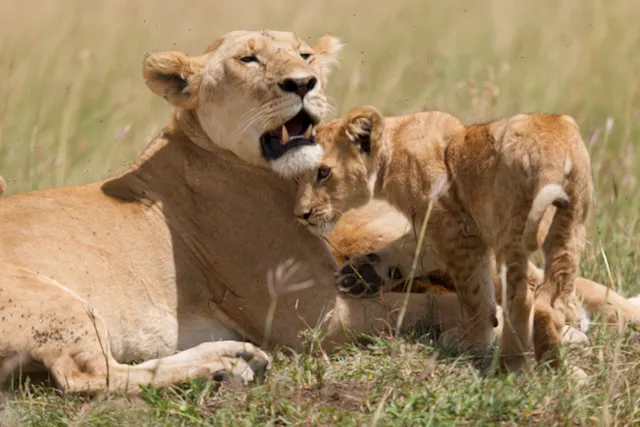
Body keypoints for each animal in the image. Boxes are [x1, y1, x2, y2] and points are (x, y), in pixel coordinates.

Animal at [293, 105, 633, 372]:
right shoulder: (442, 227)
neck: (394, 143)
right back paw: (554, 367)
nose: (301, 214)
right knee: (552, 299)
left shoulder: (457, 228)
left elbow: (475, 294)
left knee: (522, 297)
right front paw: (363, 274)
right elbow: (412, 249)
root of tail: (551, 154)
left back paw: (512, 364)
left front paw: (473, 342)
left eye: (323, 173)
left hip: (511, 226)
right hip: (570, 221)